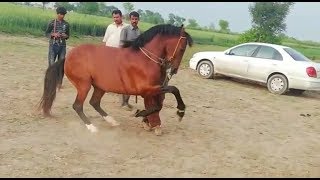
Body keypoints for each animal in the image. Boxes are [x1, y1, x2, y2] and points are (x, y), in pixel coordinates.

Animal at [38, 23, 192, 135]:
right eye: (182, 48)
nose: (174, 70)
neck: (145, 59)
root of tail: (67, 58)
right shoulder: (146, 89)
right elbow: (170, 92)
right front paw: (180, 112)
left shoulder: (154, 88)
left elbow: (159, 102)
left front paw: (145, 118)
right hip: (84, 85)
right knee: (78, 106)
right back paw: (92, 127)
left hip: (100, 87)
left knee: (94, 103)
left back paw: (112, 121)